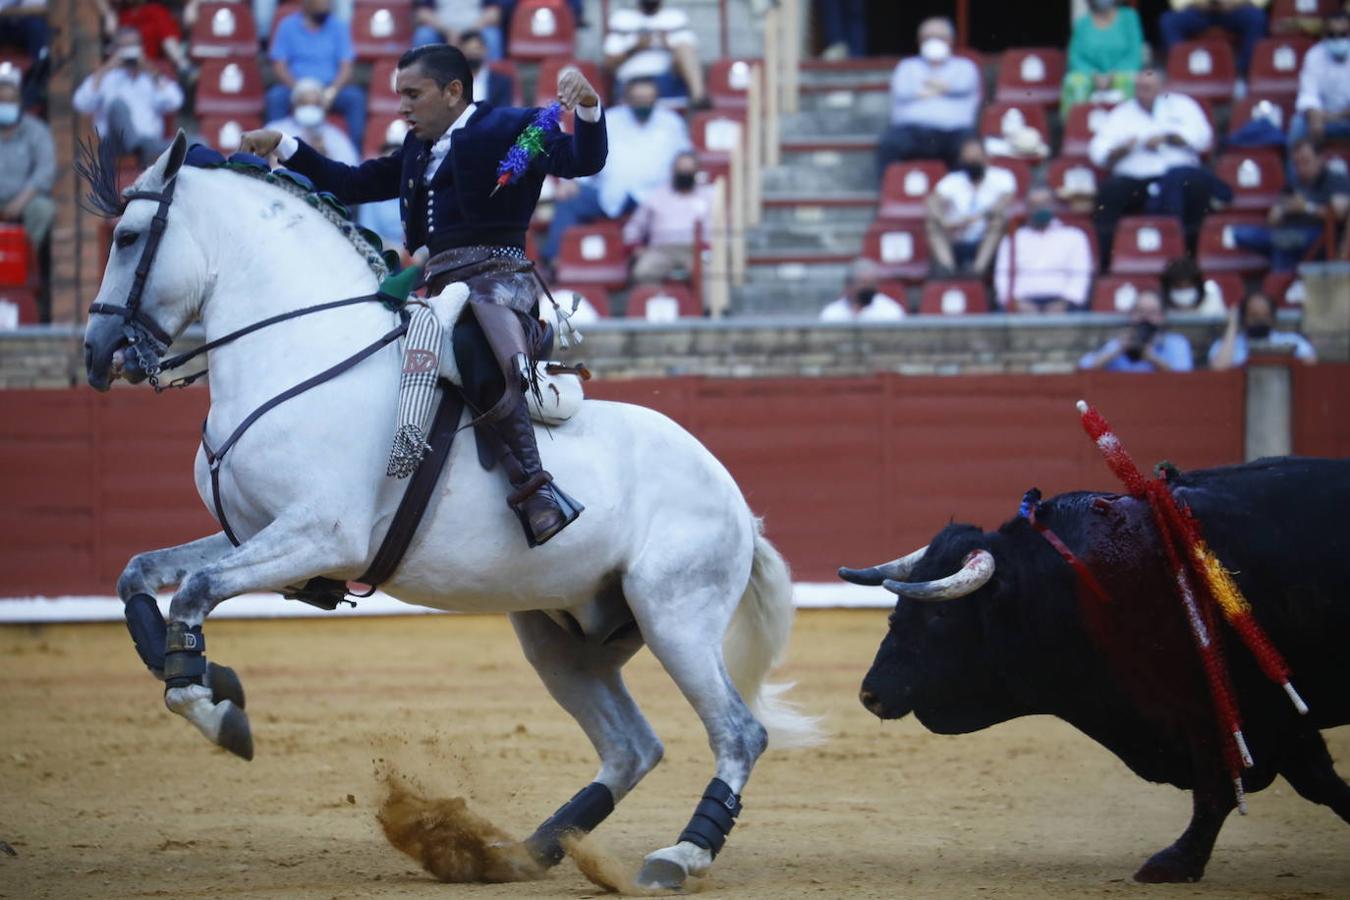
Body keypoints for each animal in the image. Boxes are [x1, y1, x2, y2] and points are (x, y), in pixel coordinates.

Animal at [87, 137, 820, 890]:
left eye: (127, 236)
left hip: (676, 615)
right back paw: (522, 850)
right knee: (632, 746)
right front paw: (211, 679)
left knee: (737, 732)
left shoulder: (319, 537)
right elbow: (139, 573)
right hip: (564, 638)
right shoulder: (257, 533)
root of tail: (735, 500)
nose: (96, 351)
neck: (303, 355)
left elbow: (194, 593)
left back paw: (678, 855)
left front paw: (213, 710)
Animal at [847, 461, 1344, 885]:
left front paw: (1173, 863)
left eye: (939, 617)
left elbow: (1220, 786)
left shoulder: (1231, 707)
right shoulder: (1272, 716)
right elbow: (1317, 780)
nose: (870, 694)